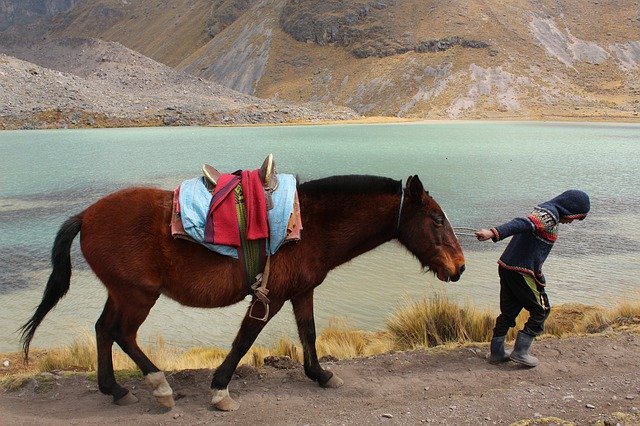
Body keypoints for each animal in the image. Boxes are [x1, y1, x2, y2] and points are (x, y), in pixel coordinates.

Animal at [20, 175, 464, 412]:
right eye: (436, 219)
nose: (459, 267)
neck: (308, 226)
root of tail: (86, 215)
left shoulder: (301, 292)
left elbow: (309, 333)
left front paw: (321, 375)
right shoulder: (270, 297)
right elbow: (244, 339)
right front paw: (220, 390)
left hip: (122, 292)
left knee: (102, 330)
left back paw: (114, 389)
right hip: (137, 295)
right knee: (121, 334)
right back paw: (160, 388)